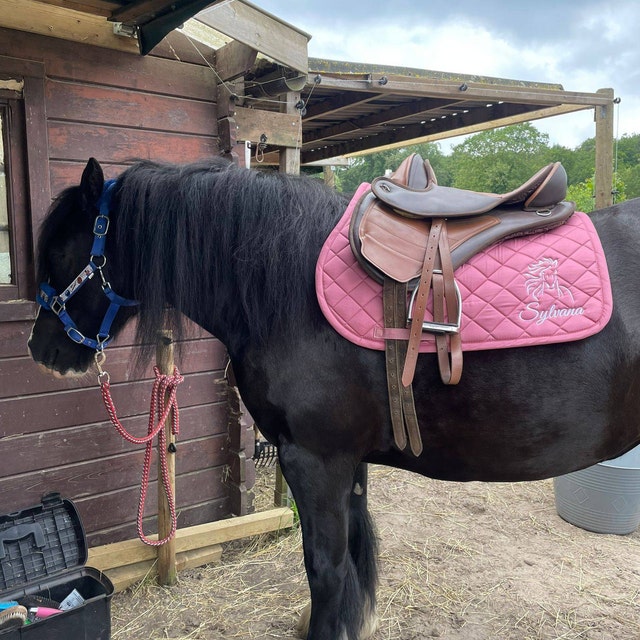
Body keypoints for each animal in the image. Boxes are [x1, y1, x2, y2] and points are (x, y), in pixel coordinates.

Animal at [27, 156, 640, 640]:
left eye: (60, 251)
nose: (40, 348)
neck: (287, 286)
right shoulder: (349, 461)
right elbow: (353, 556)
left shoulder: (314, 458)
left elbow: (326, 569)